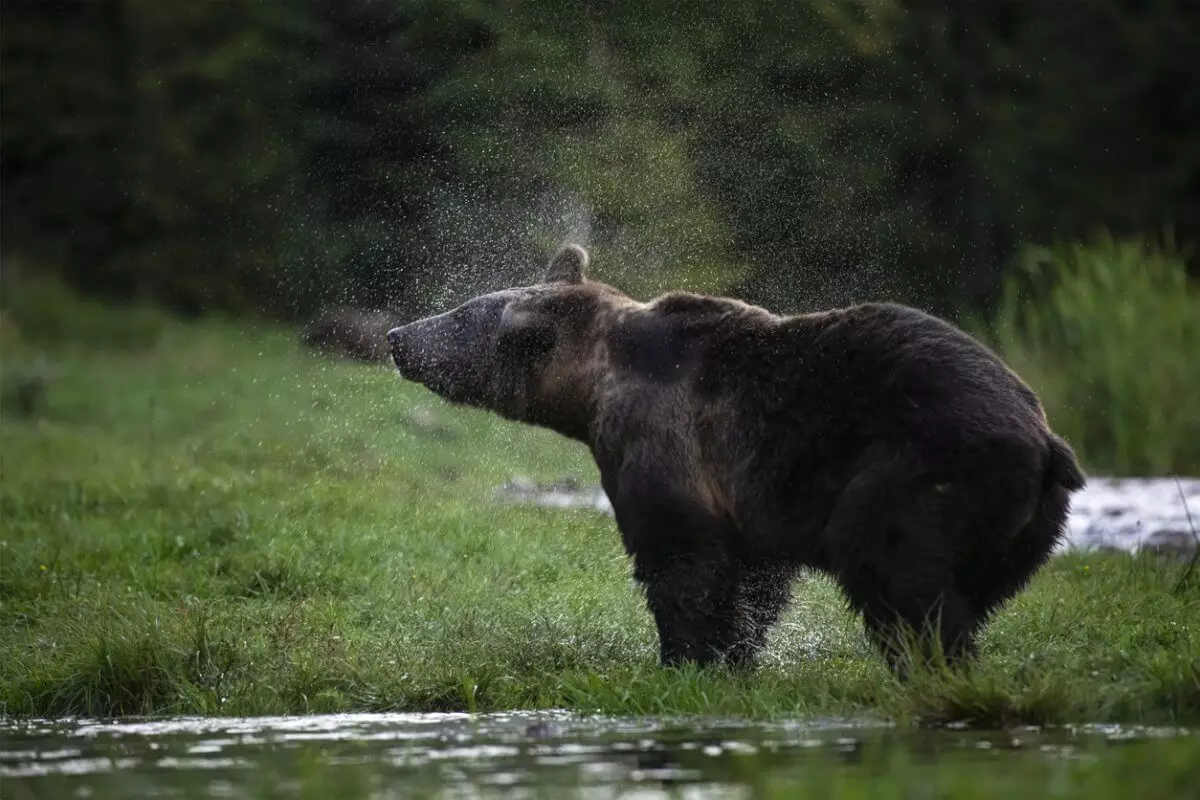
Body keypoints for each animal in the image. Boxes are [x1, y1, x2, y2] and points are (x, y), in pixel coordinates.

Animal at [386, 245, 1089, 676]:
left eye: (460, 316)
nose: (397, 337)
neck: (593, 390)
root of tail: (1046, 440)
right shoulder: (751, 501)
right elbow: (757, 578)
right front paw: (739, 654)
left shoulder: (662, 441)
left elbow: (679, 559)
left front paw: (684, 658)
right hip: (1028, 520)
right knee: (972, 587)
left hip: (921, 466)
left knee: (888, 561)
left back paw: (924, 658)